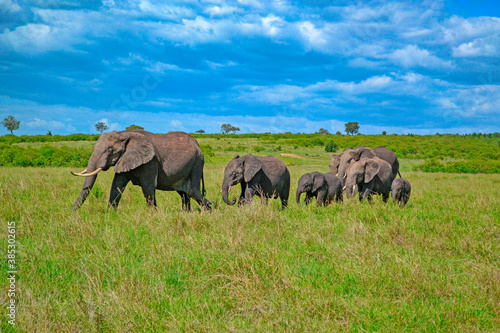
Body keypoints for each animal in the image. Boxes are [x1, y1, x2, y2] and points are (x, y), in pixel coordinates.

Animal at [71, 129, 211, 210]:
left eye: (110, 150)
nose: (72, 214)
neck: (123, 134)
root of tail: (198, 144)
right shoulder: (125, 159)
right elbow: (117, 185)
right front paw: (110, 214)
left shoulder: (151, 161)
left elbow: (148, 187)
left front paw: (153, 215)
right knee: (184, 194)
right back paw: (186, 213)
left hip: (197, 163)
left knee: (193, 191)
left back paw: (208, 211)